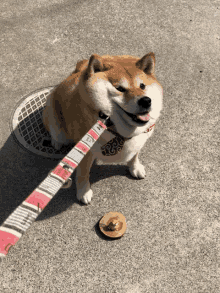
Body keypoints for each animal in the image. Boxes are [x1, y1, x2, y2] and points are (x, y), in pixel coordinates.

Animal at [43, 52, 163, 203]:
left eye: (142, 86)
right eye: (120, 89)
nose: (146, 101)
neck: (117, 131)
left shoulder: (140, 140)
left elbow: (135, 155)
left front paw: (135, 167)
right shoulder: (85, 152)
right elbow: (83, 173)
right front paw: (83, 191)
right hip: (53, 113)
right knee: (55, 132)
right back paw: (56, 142)